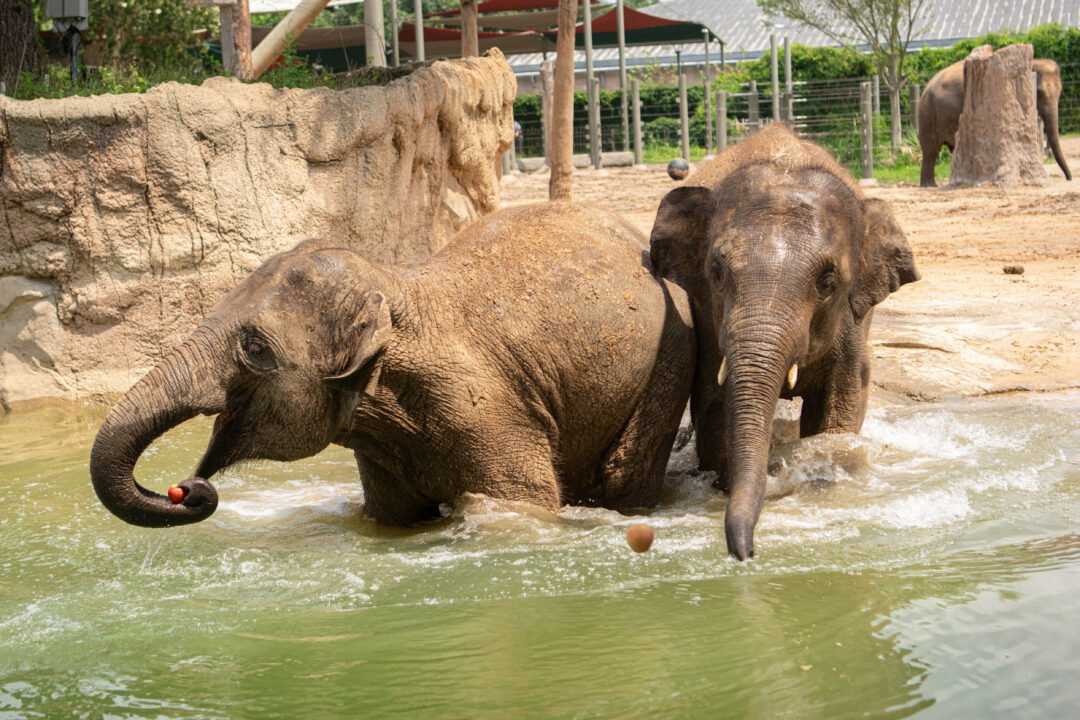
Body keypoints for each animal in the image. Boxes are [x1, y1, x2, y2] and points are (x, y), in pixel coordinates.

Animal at [91, 203, 696, 529]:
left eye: (255, 348)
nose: (187, 489)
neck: (396, 289)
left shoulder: (489, 413)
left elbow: (522, 506)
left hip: (670, 356)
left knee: (624, 472)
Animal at [649, 124, 919, 560]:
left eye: (827, 281)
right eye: (716, 271)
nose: (746, 553)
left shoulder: (853, 321)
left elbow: (840, 405)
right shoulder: (708, 316)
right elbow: (714, 401)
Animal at [918, 57, 1072, 187]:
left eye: (1060, 90)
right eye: (1039, 92)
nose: (1068, 178)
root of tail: (926, 87)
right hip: (928, 114)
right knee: (931, 150)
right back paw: (930, 185)